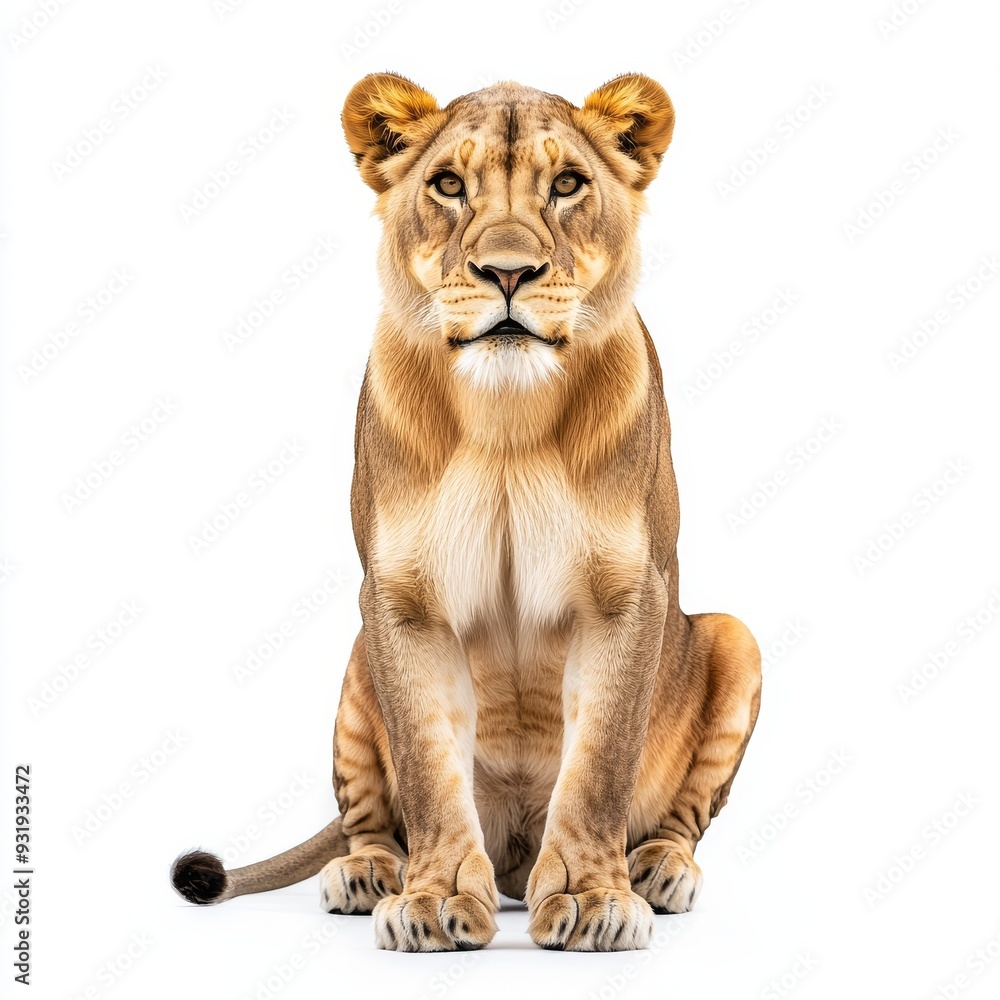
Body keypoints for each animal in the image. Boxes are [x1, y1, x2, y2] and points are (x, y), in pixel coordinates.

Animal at [171, 72, 762, 953]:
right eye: (449, 185)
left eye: (567, 184)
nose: (507, 272)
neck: (506, 419)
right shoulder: (398, 598)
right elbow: (425, 762)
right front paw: (433, 899)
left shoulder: (629, 594)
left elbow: (600, 765)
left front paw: (592, 899)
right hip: (356, 657)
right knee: (368, 814)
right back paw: (365, 871)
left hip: (732, 636)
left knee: (681, 812)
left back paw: (660, 868)